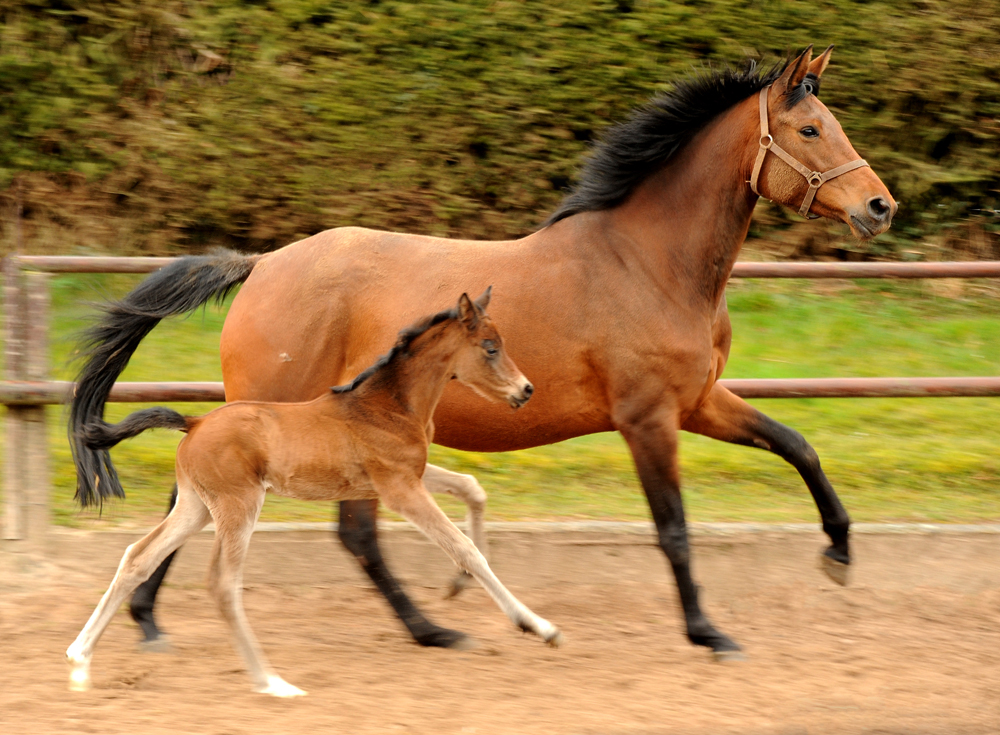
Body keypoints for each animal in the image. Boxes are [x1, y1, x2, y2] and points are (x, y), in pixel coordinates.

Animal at [66, 290, 560, 700]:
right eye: (490, 347)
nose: (525, 390)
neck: (386, 405)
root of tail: (195, 422)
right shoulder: (400, 489)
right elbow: (462, 546)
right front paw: (537, 626)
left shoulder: (407, 477)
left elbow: (472, 489)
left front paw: (457, 586)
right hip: (238, 507)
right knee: (222, 584)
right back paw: (272, 682)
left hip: (196, 508)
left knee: (138, 557)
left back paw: (80, 662)